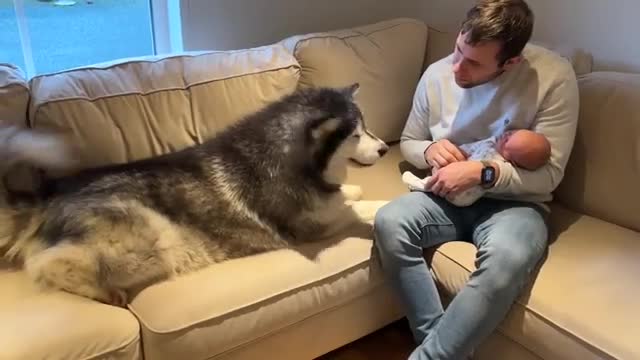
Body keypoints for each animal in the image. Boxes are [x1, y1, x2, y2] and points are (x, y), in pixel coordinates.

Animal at [0, 83, 390, 306]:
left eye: (366, 128)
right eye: (356, 135)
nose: (385, 149)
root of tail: (50, 194)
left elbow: (345, 195)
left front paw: (352, 189)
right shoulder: (309, 228)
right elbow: (357, 209)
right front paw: (382, 203)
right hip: (152, 239)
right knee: (45, 264)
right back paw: (103, 292)